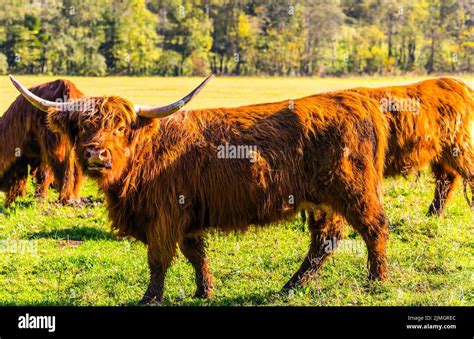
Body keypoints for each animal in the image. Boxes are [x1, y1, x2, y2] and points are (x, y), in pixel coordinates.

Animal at [10, 75, 392, 304]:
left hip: (354, 190)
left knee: (374, 228)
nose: (95, 154)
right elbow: (196, 253)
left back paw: (377, 281)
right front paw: (203, 290)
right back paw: (291, 287)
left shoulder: (164, 215)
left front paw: (150, 298)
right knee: (324, 240)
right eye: (82, 127)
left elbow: (158, 259)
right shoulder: (187, 215)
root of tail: (355, 99)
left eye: (119, 128)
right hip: (322, 200)